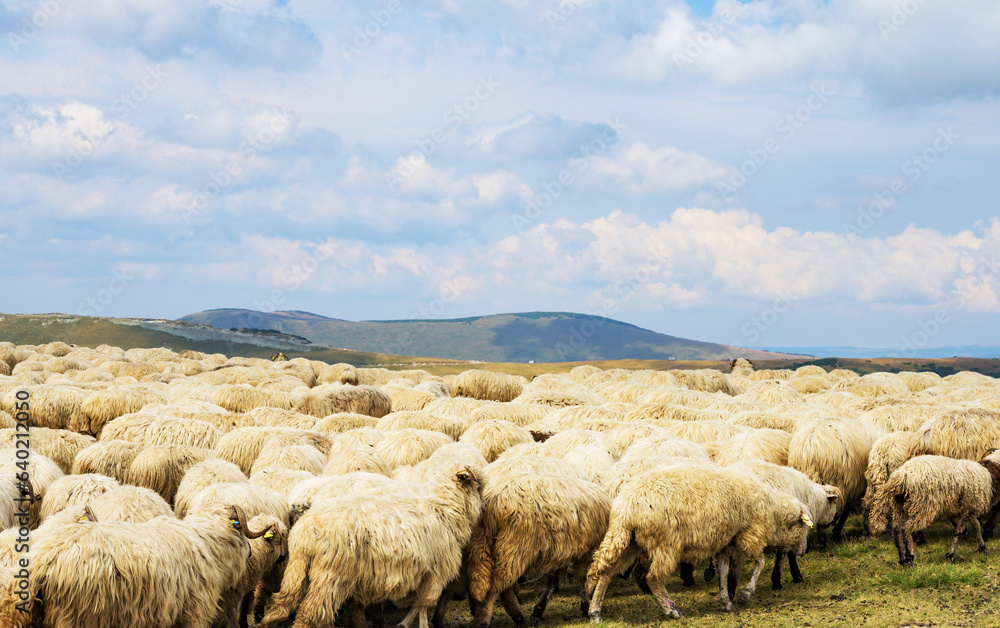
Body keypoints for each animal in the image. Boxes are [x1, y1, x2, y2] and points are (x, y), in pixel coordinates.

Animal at [0, 501, 271, 628]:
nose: (250, 552)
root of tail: (44, 561)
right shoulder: (193, 614)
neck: (207, 543)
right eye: (240, 525)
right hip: (74, 617)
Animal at [258, 460, 485, 628]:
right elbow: (423, 605)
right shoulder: (437, 570)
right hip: (330, 575)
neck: (443, 508)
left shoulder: (424, 570)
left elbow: (418, 604)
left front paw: (404, 623)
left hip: (299, 570)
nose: (484, 508)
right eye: (479, 485)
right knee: (310, 613)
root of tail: (304, 531)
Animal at [468, 471, 612, 628]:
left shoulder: (562, 550)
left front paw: (538, 611)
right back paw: (490, 620)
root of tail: (493, 497)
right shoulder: (587, 549)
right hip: (513, 547)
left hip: (481, 545)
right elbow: (582, 578)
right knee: (496, 589)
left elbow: (555, 581)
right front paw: (586, 607)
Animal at [586, 465, 813, 621]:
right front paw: (745, 594)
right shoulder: (750, 535)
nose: (803, 550)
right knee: (653, 577)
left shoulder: (726, 541)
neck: (772, 509)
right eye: (805, 527)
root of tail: (626, 506)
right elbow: (760, 563)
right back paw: (671, 609)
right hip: (666, 542)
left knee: (606, 572)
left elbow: (723, 570)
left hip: (628, 539)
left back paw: (595, 612)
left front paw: (726, 601)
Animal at [870, 451, 1000, 565]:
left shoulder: (968, 508)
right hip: (922, 505)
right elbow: (958, 532)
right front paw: (951, 555)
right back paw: (909, 557)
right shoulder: (971, 508)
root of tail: (901, 476)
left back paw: (902, 559)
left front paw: (982, 547)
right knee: (905, 529)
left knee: (897, 529)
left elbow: (977, 526)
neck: (990, 473)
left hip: (901, 505)